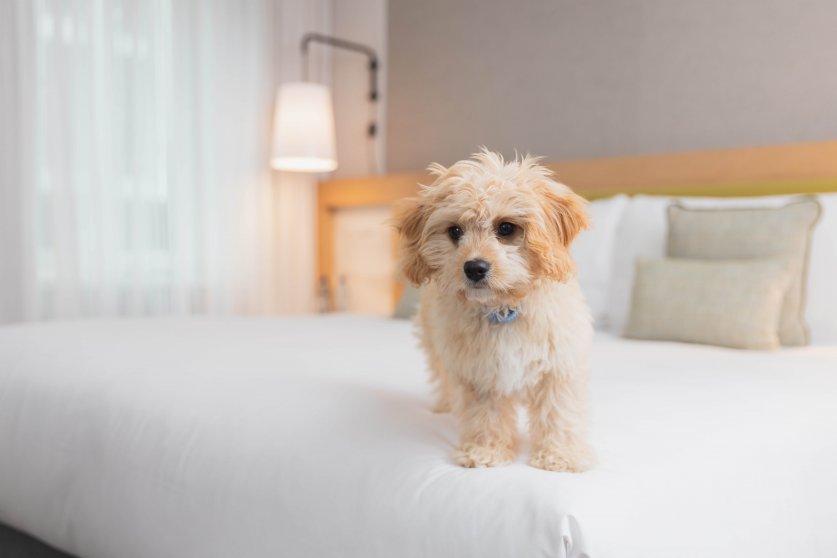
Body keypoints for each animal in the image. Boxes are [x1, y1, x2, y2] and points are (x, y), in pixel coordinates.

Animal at [394, 151, 596, 474]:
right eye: (455, 231)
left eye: (506, 228)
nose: (474, 267)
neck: (503, 309)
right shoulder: (480, 374)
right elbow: (485, 416)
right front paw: (486, 451)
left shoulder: (558, 367)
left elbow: (558, 413)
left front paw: (560, 455)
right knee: (443, 378)